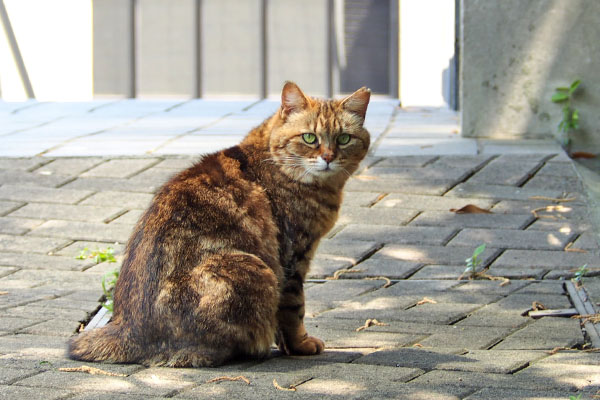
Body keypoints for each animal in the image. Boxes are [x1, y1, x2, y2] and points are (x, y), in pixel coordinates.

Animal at [67, 82, 370, 368]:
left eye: (344, 138)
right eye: (309, 137)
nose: (328, 157)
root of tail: (127, 330)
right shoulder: (293, 258)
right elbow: (294, 310)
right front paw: (300, 345)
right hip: (250, 267)